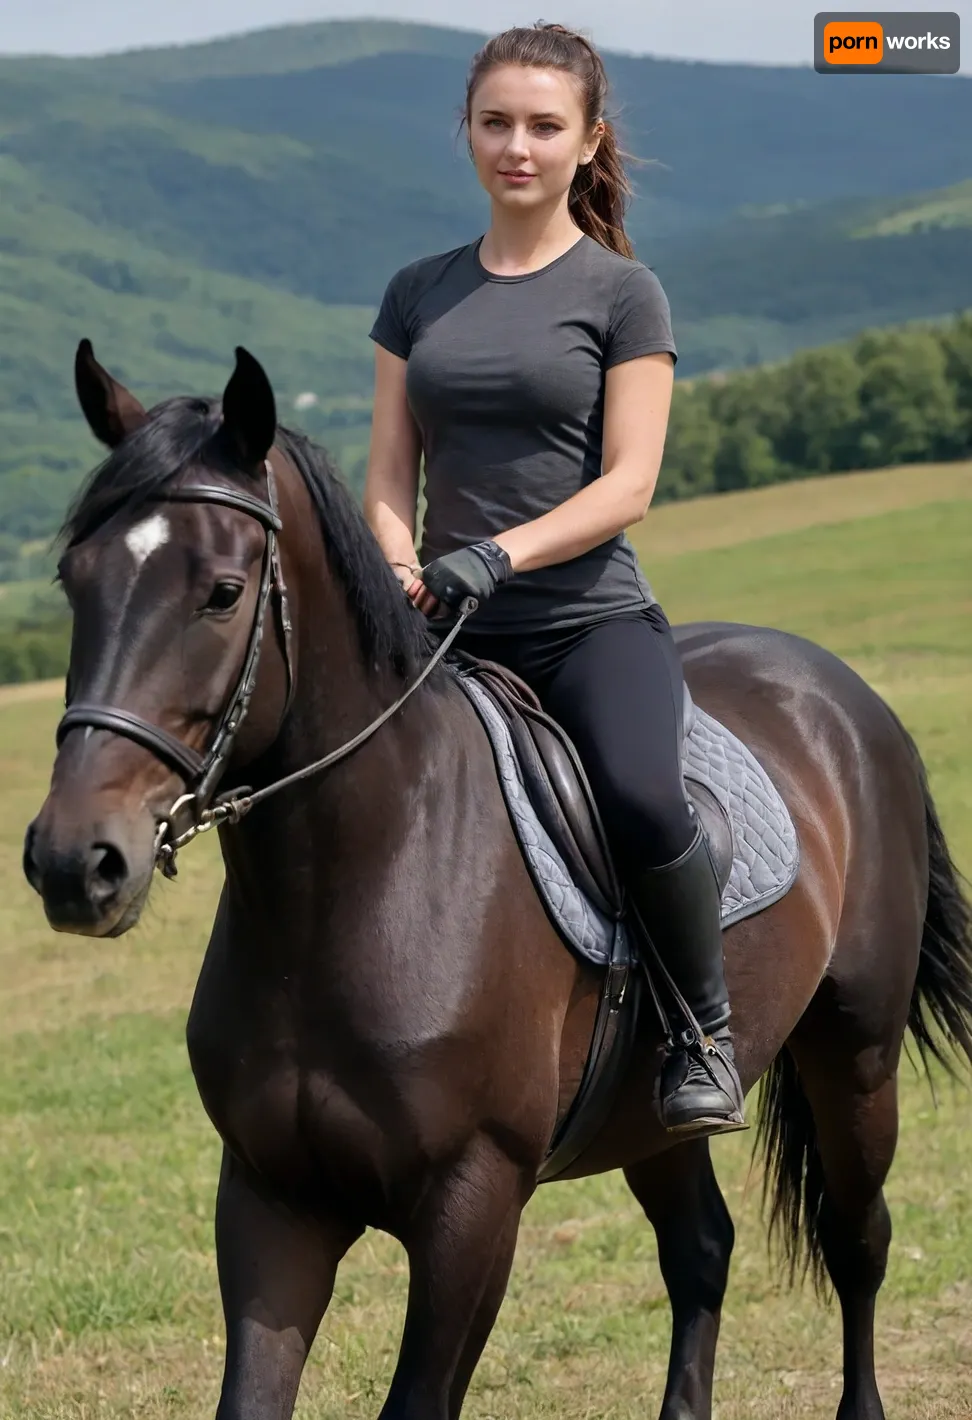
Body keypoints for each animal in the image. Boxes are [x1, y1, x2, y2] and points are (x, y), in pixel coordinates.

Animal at [23, 342, 972, 1420]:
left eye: (222, 591)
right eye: (75, 579)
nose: (75, 861)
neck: (356, 888)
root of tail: (844, 696)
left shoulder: (471, 1204)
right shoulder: (271, 1200)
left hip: (854, 1053)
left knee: (857, 1241)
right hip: (654, 1120)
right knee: (703, 1250)